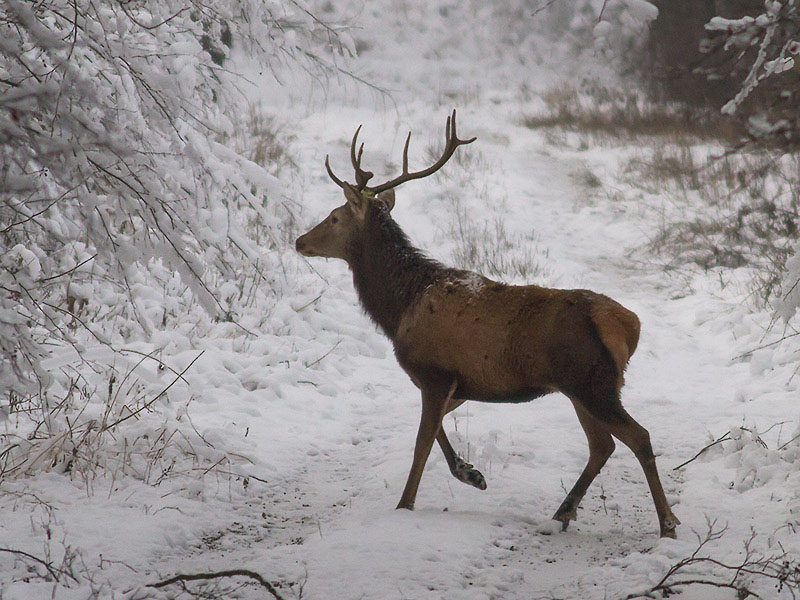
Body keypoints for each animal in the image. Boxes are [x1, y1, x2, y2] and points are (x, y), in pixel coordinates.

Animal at [296, 110, 680, 536]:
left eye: (334, 217)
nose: (299, 241)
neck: (399, 308)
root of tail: (628, 325)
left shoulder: (434, 372)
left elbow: (422, 443)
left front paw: (405, 504)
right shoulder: (457, 382)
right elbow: (438, 431)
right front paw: (471, 473)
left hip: (591, 382)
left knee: (638, 437)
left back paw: (666, 523)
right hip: (581, 387)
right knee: (603, 444)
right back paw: (563, 511)